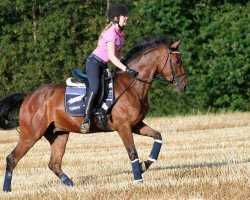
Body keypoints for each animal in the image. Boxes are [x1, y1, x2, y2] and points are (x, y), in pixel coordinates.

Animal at [0, 35, 188, 191]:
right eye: (178, 61)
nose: (185, 85)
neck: (133, 86)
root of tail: (29, 96)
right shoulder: (124, 127)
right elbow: (132, 152)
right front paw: (138, 179)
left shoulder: (136, 125)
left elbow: (158, 136)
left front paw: (144, 165)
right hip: (31, 135)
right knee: (12, 158)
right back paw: (7, 189)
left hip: (59, 134)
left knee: (54, 163)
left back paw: (72, 185)